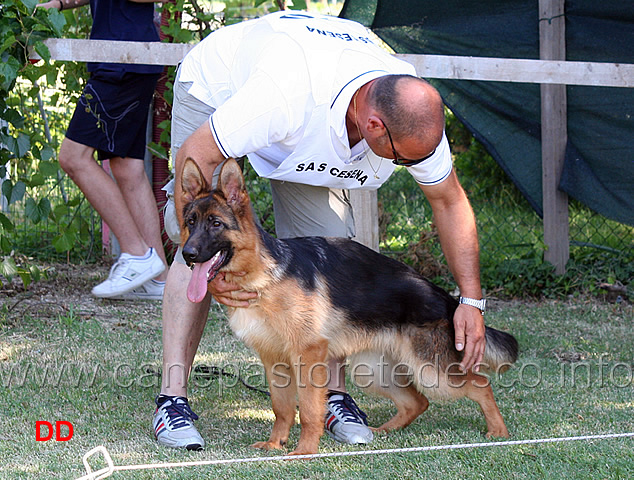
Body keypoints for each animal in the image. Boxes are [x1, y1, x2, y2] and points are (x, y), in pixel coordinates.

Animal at [180, 158, 516, 454]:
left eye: (215, 223)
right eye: (190, 223)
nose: (187, 254)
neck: (261, 276)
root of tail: (446, 297)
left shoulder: (308, 355)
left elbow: (309, 410)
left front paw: (304, 451)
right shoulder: (274, 360)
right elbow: (282, 408)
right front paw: (276, 444)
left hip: (432, 373)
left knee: (480, 385)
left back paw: (498, 431)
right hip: (372, 371)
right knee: (417, 401)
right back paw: (383, 432)